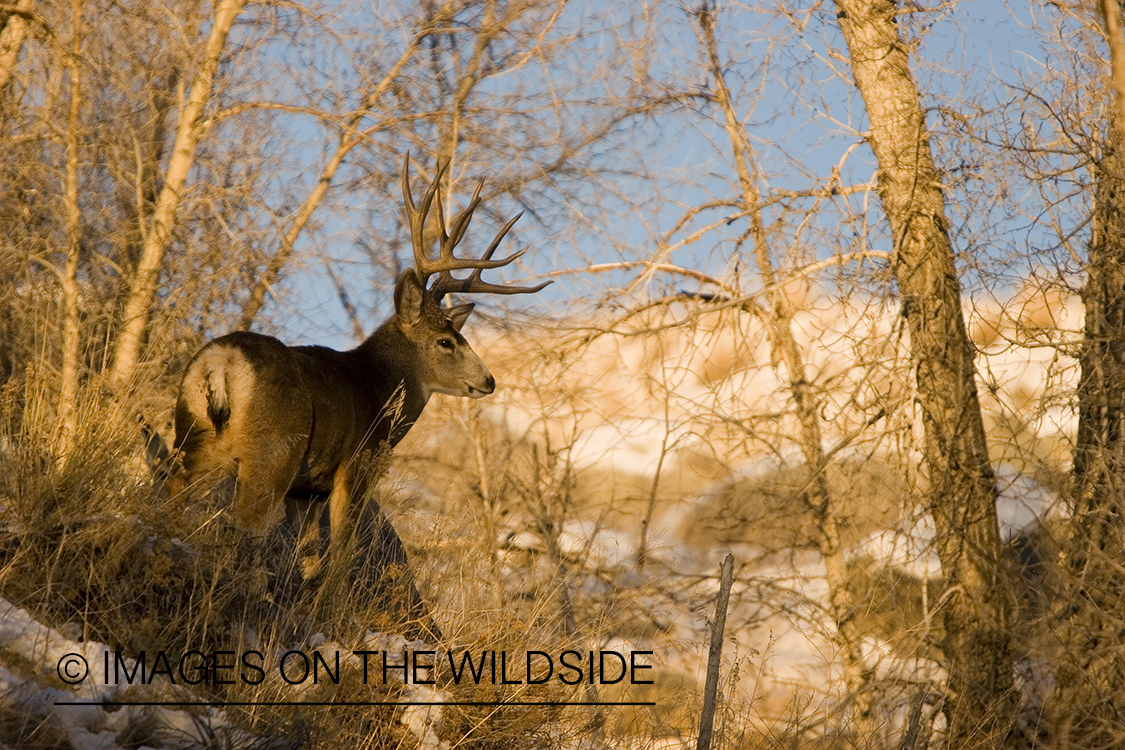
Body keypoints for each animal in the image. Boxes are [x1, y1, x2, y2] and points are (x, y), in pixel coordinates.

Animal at [168, 155, 549, 613]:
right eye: (446, 341)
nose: (488, 380)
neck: (378, 389)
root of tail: (222, 363)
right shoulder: (356, 466)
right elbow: (341, 554)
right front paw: (325, 611)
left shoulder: (305, 492)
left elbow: (301, 553)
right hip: (272, 453)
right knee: (242, 525)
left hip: (191, 439)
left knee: (168, 498)